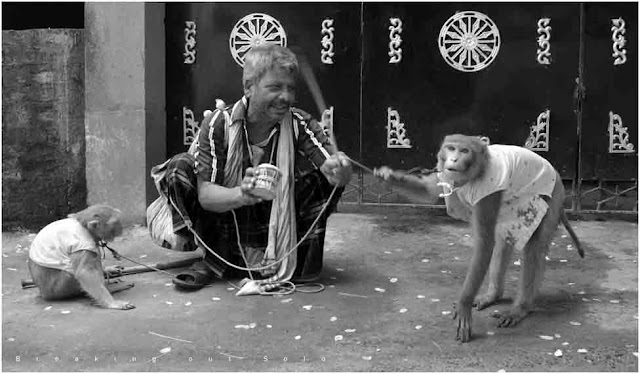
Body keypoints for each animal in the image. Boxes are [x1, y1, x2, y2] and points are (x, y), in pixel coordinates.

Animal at [376, 134, 584, 342]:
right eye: (451, 148)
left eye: (464, 151)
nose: (453, 160)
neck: (474, 171)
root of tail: (556, 173)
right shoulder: (445, 173)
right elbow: (429, 192)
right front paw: (387, 176)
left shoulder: (488, 191)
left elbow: (484, 244)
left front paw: (464, 305)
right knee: (502, 241)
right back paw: (493, 295)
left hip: (552, 195)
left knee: (534, 247)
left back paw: (520, 308)